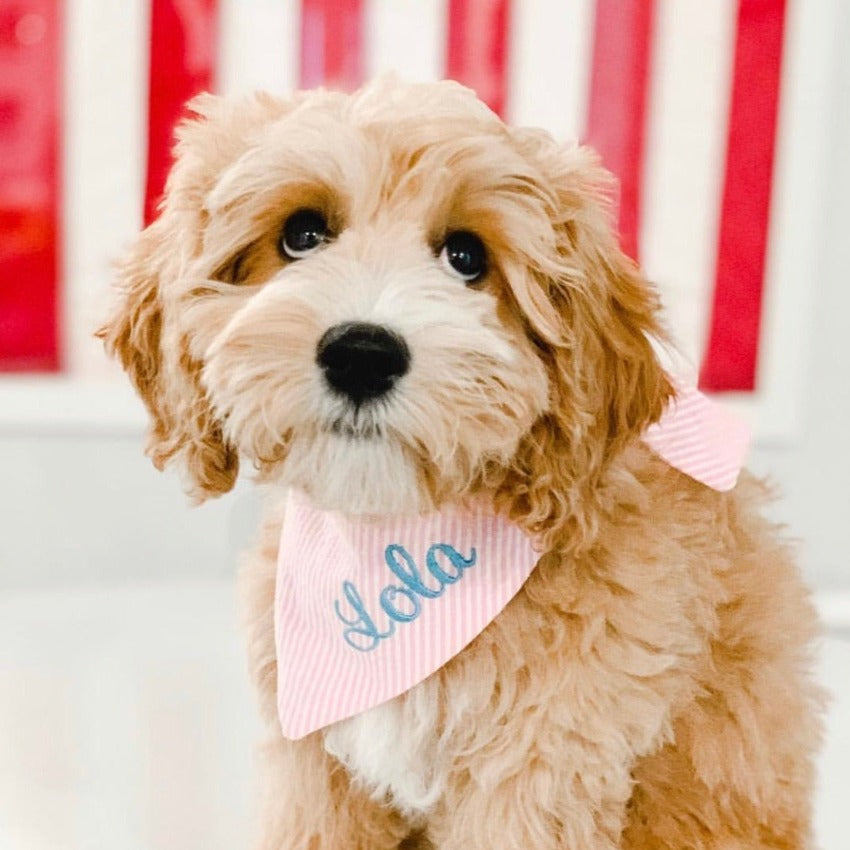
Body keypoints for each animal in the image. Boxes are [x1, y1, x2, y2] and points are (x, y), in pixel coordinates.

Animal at [99, 79, 820, 848]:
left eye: (467, 257)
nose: (362, 354)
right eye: (302, 234)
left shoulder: (540, 764)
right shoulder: (313, 759)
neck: (396, 533)